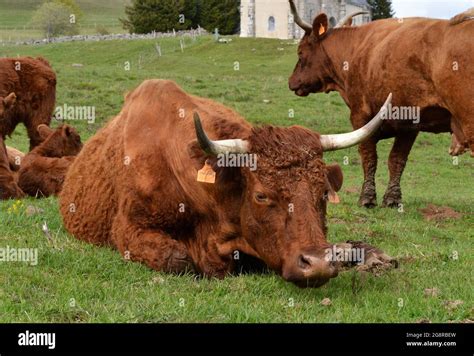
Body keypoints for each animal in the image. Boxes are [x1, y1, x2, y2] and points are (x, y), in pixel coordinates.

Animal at [286, 1, 472, 207]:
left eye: (300, 52)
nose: (291, 81)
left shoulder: (360, 114)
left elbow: (369, 156)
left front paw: (367, 198)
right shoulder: (410, 122)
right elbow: (397, 159)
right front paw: (392, 199)